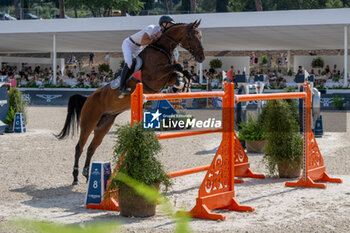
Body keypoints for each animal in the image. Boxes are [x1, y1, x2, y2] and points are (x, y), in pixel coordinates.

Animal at [55, 20, 204, 185]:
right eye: (192, 36)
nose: (201, 57)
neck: (163, 49)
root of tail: (88, 98)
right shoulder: (154, 76)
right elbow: (176, 66)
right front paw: (184, 77)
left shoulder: (163, 78)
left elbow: (176, 72)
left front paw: (185, 80)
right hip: (89, 122)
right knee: (79, 147)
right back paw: (75, 176)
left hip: (103, 126)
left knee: (91, 148)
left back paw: (87, 174)